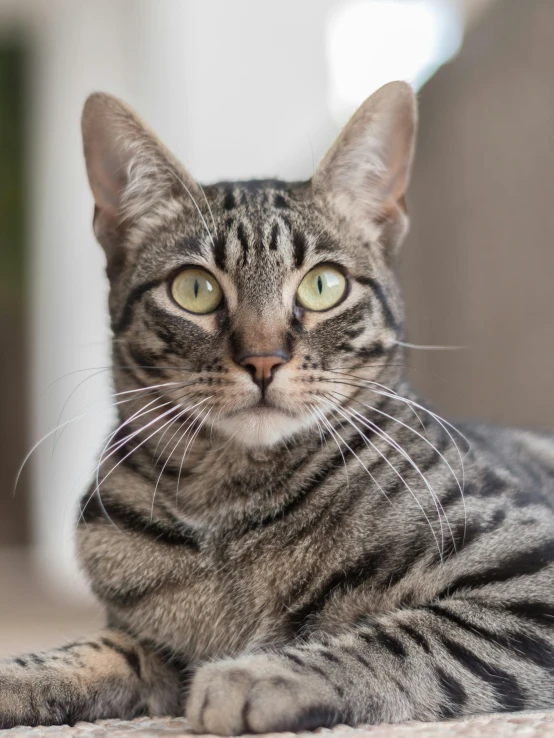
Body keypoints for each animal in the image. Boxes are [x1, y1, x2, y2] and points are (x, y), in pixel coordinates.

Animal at [1, 82, 552, 732]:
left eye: (323, 285)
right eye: (194, 289)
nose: (264, 360)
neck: (232, 504)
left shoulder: (530, 576)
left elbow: (406, 636)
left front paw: (260, 673)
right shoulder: (147, 644)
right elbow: (85, 652)